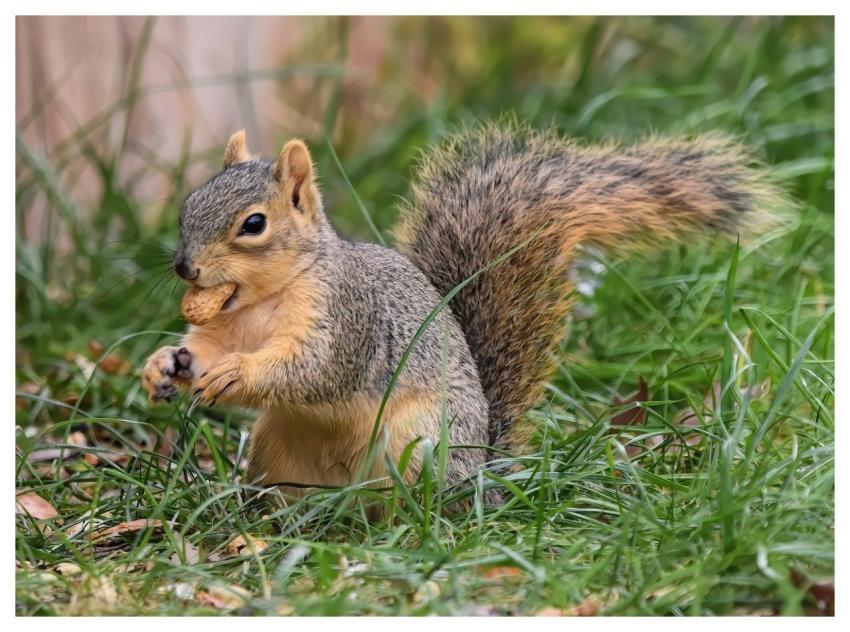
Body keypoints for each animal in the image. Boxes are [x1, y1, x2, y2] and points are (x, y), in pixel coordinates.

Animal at [141, 122, 784, 501]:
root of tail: (481, 471)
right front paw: (163, 366)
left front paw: (237, 374)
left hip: (419, 443)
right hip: (279, 446)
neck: (259, 303)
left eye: (254, 224)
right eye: (188, 204)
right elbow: (202, 347)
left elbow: (313, 369)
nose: (185, 267)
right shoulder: (224, 326)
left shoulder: (347, 320)